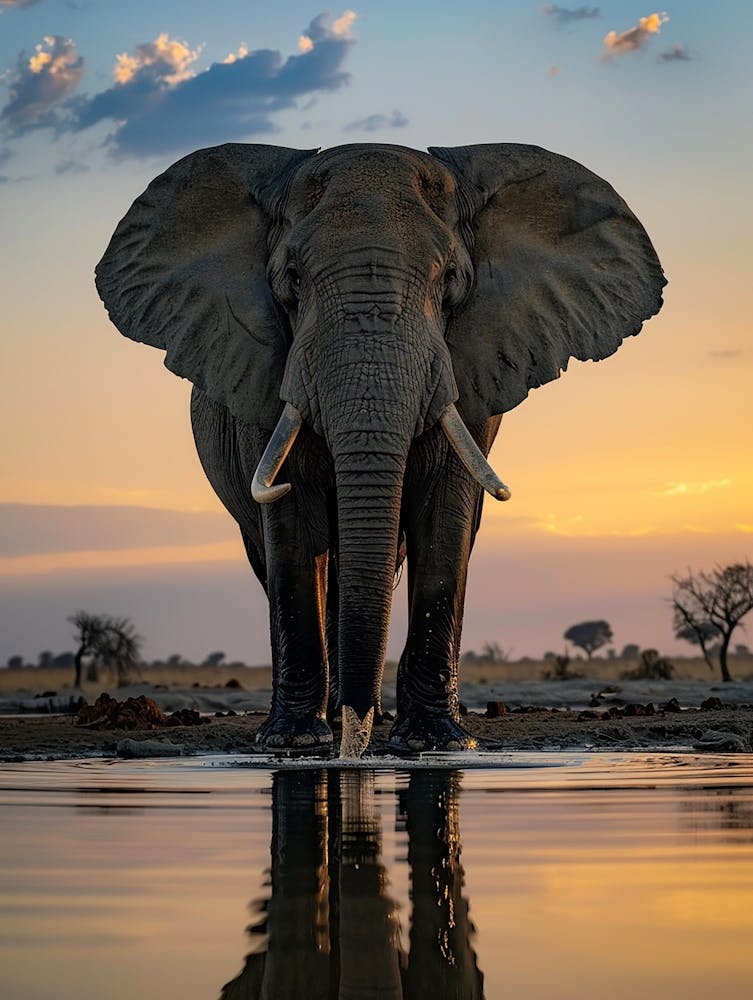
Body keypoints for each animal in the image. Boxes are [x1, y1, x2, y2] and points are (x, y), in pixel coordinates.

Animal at [96, 141, 665, 757]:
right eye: (291, 278)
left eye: (452, 279)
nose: (356, 741)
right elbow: (291, 526)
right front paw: (295, 743)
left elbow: (444, 520)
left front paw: (438, 744)